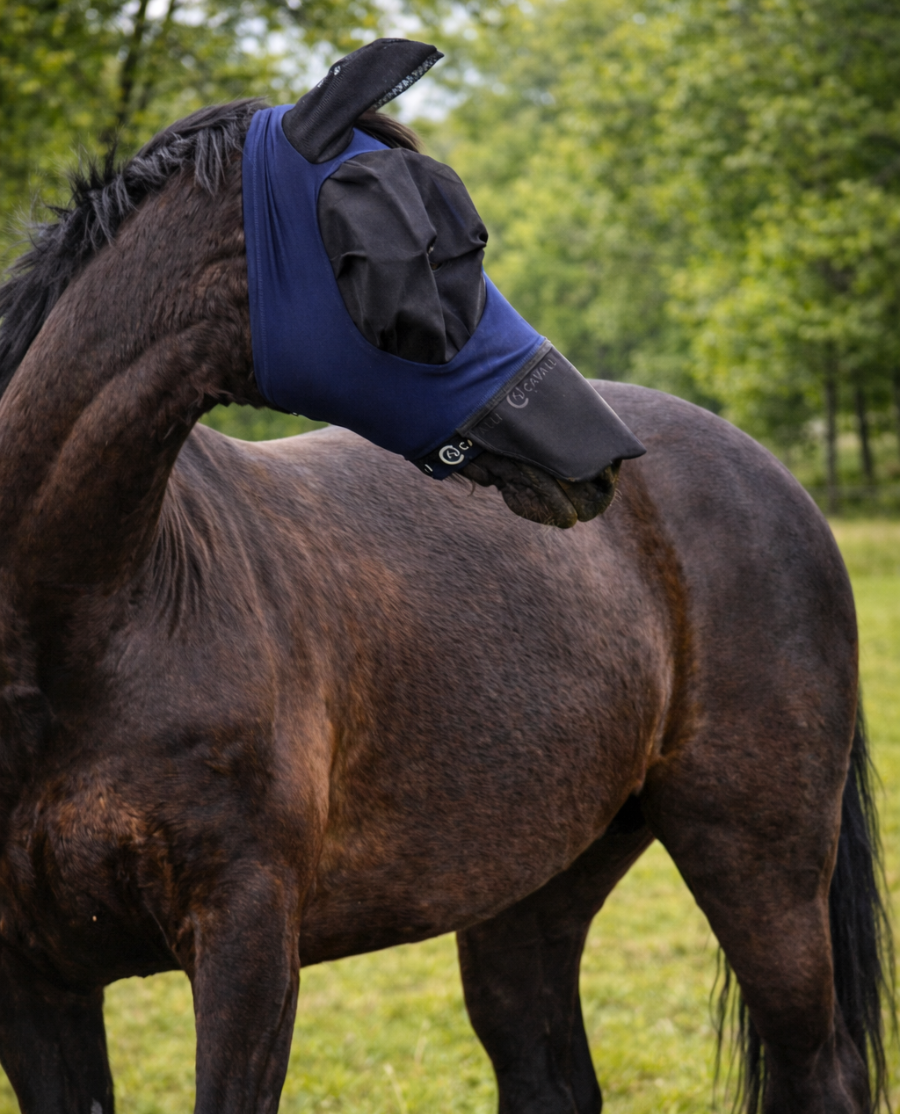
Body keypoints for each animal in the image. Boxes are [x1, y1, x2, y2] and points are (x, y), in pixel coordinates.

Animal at [0, 99, 892, 1114]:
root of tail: (770, 475)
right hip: (534, 891)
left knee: (820, 1067)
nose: (602, 450)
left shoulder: (247, 946)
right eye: (426, 247)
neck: (85, 628)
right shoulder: (36, 985)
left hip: (760, 871)